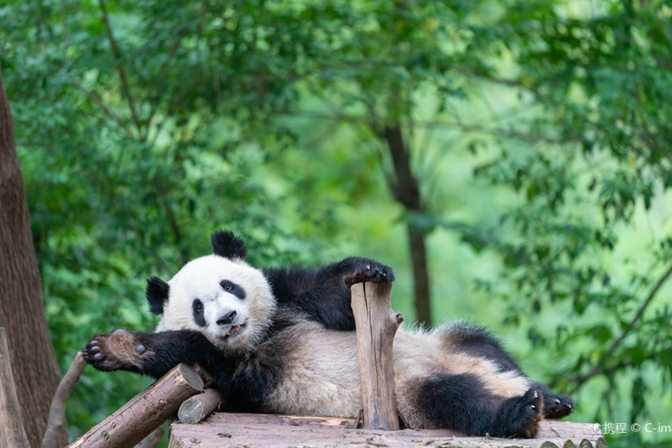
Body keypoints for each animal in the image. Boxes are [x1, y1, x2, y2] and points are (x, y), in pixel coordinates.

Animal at [82, 231, 572, 438]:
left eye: (230, 286)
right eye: (199, 308)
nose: (227, 318)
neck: (260, 334)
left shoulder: (289, 296)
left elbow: (333, 299)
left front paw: (365, 270)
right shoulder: (244, 375)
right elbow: (197, 352)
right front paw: (114, 348)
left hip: (451, 344)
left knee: (485, 345)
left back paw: (550, 398)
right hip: (409, 395)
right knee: (455, 399)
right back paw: (521, 412)